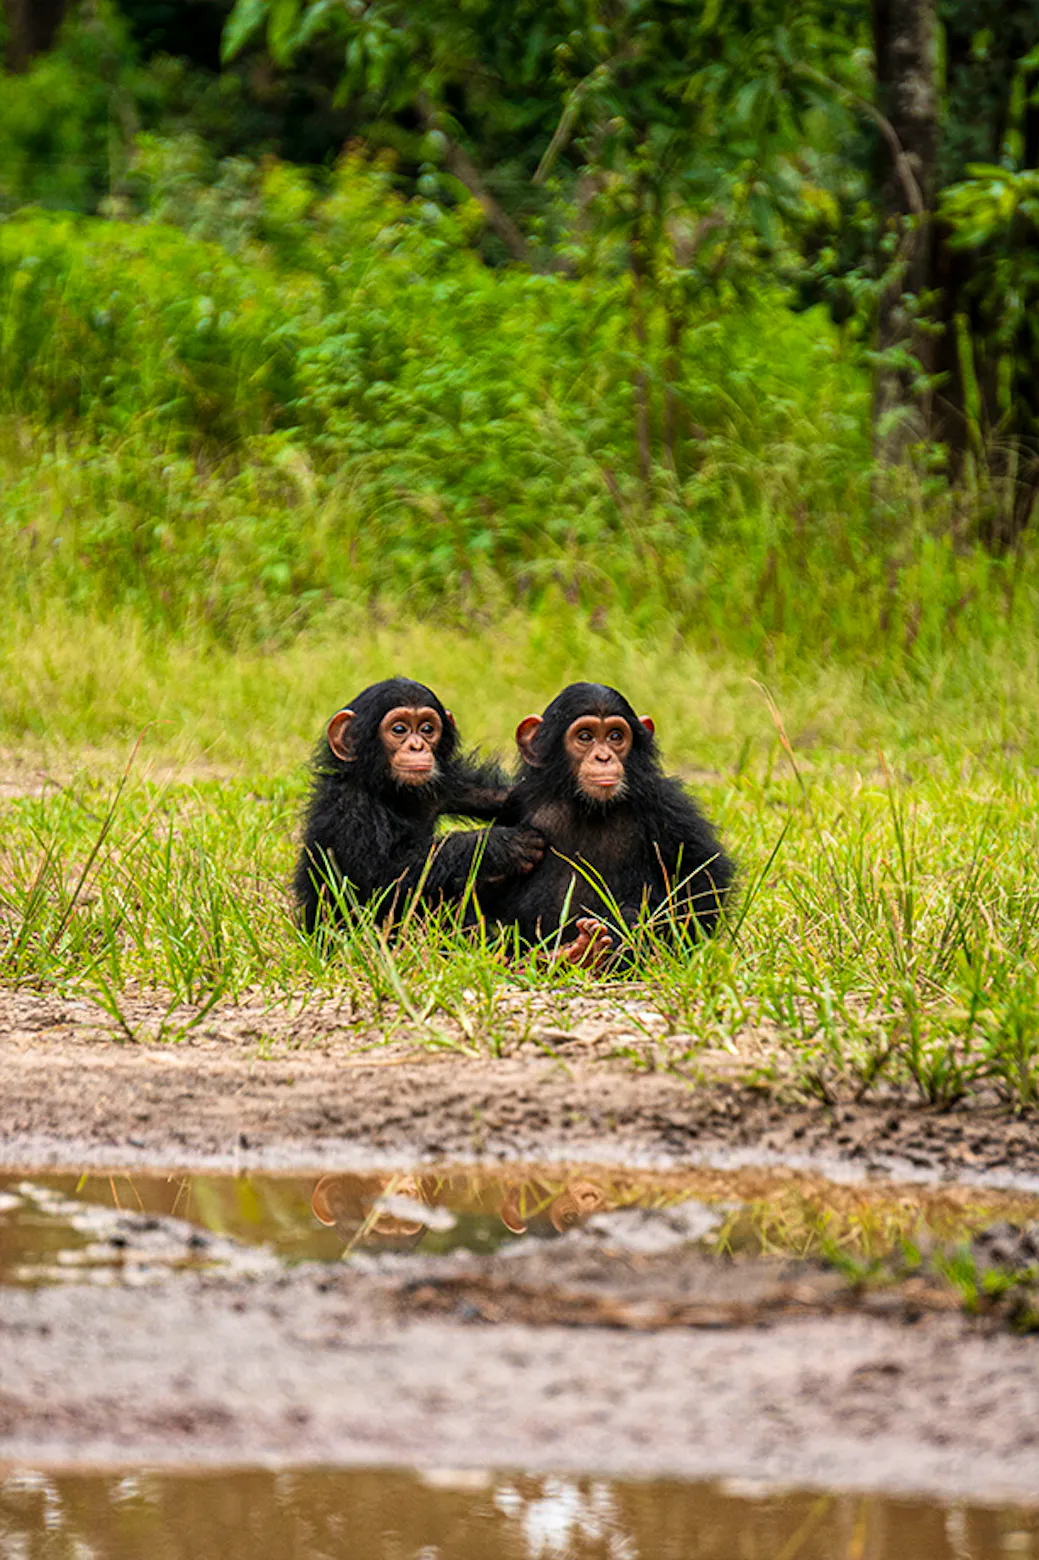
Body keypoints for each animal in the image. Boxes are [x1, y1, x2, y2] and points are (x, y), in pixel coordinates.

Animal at [294, 676, 544, 933]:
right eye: (399, 729)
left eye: (427, 729)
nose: (417, 746)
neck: (387, 792)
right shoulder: (350, 808)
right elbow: (382, 879)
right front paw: (497, 845)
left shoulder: (445, 784)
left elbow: (499, 797)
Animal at [486, 681, 734, 965]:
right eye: (585, 737)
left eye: (616, 736)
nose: (603, 757)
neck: (588, 805)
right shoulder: (516, 800)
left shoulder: (666, 805)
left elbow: (701, 875)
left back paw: (586, 951)